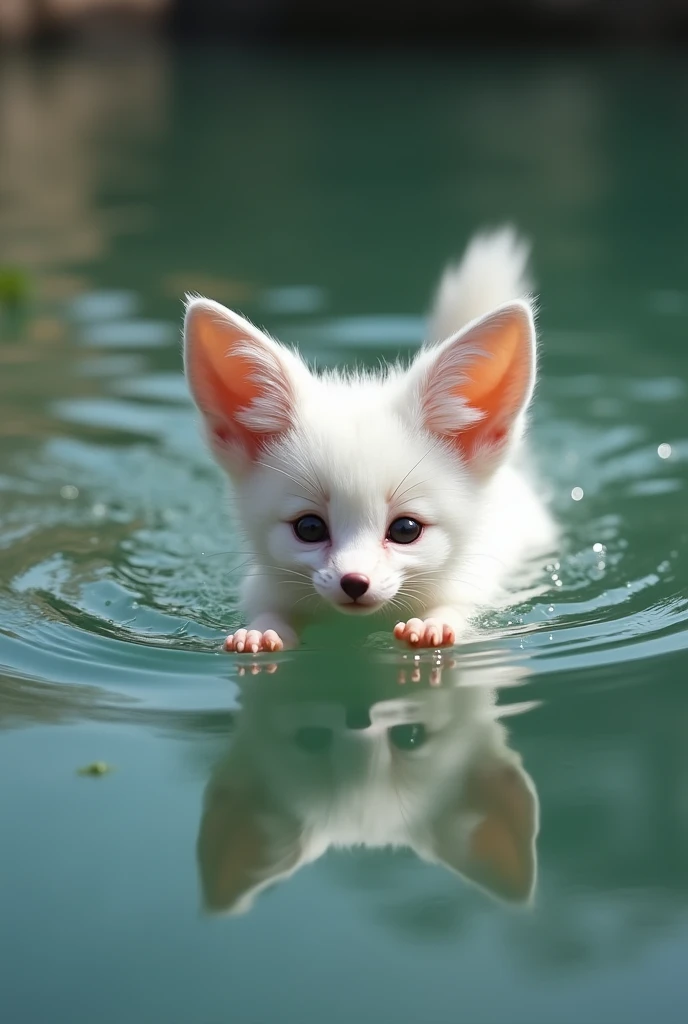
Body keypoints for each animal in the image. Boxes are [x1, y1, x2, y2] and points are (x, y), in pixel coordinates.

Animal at [184, 228, 556, 651]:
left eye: (406, 529)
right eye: (309, 528)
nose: (354, 582)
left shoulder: (475, 585)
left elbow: (455, 611)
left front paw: (432, 624)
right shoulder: (263, 588)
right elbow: (270, 613)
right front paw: (261, 632)